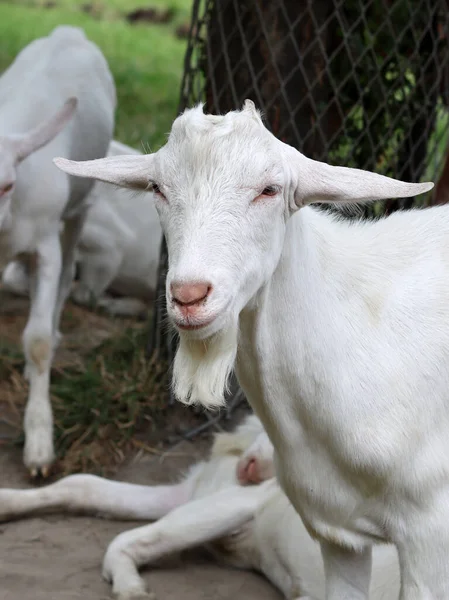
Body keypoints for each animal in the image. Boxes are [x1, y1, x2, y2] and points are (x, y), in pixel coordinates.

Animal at [0, 24, 115, 478]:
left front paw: (38, 442)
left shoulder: (45, 244)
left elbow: (37, 342)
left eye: (7, 184)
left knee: (65, 279)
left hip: (80, 210)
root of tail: (70, 31)